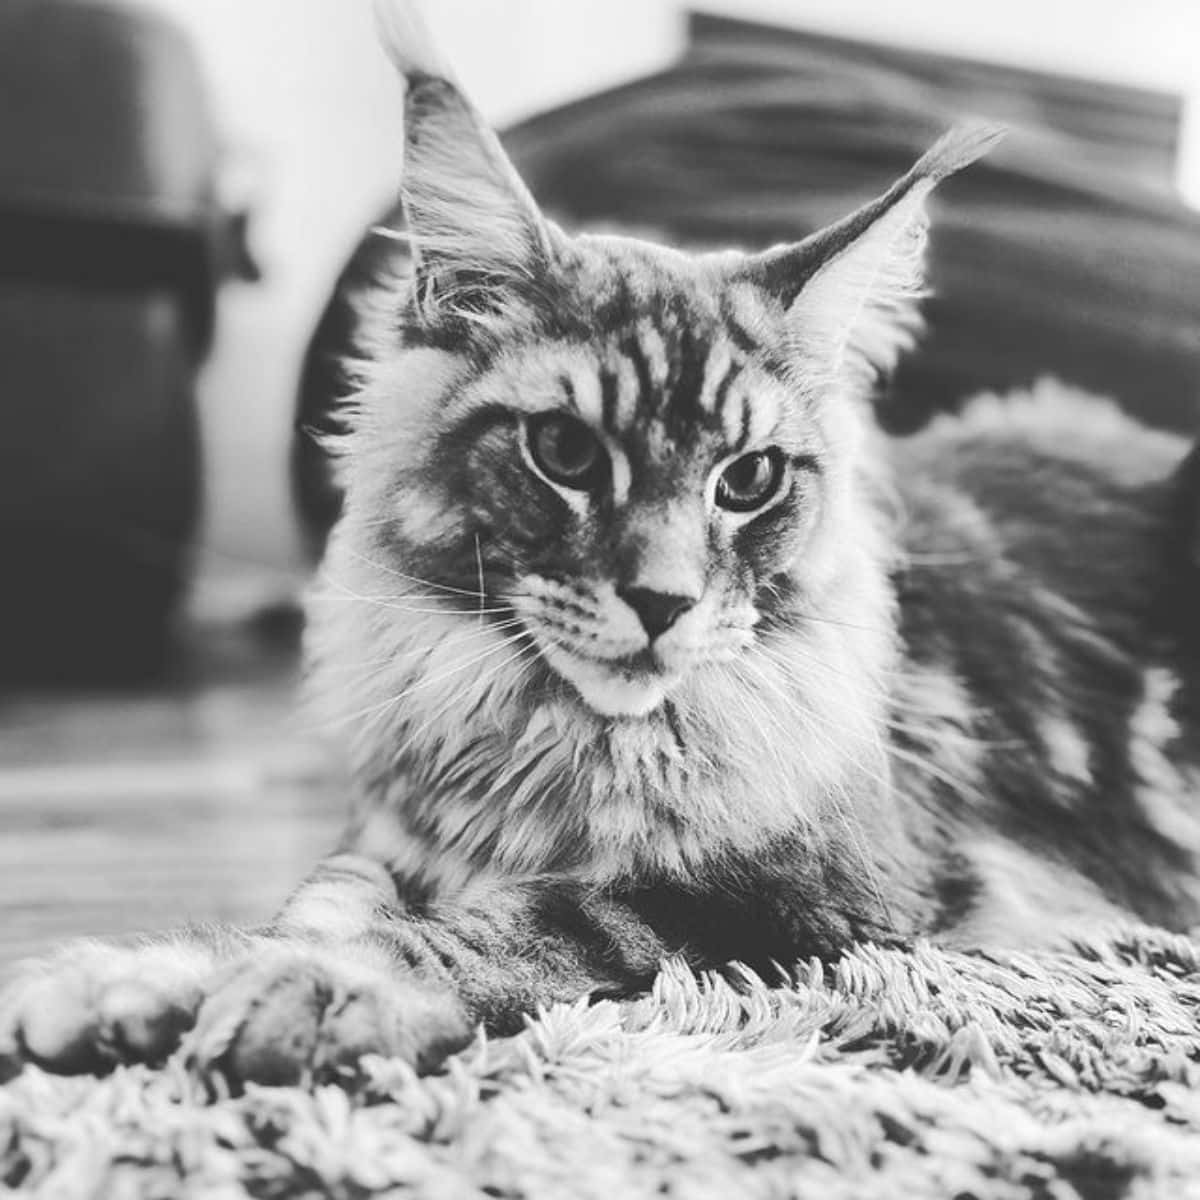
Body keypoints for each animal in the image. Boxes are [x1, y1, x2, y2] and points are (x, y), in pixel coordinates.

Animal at [2, 0, 1200, 1089]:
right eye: (566, 452)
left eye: (749, 480)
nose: (662, 603)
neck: (541, 745)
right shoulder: (392, 835)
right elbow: (315, 904)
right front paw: (144, 980)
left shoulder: (810, 894)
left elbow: (521, 923)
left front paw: (318, 991)